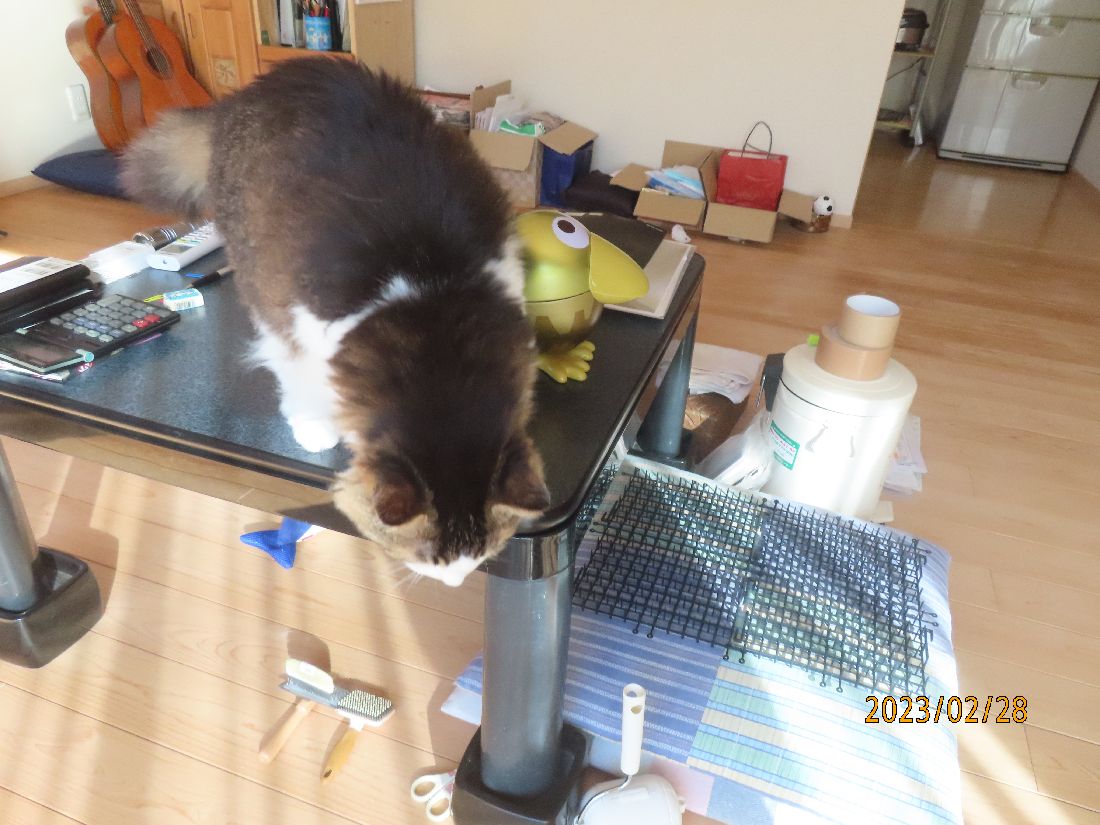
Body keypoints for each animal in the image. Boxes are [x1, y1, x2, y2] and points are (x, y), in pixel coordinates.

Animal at [121, 58, 549, 587]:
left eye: (486, 550)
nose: (455, 582)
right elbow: (302, 384)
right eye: (427, 557)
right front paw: (314, 429)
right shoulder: (300, 327)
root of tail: (254, 88)